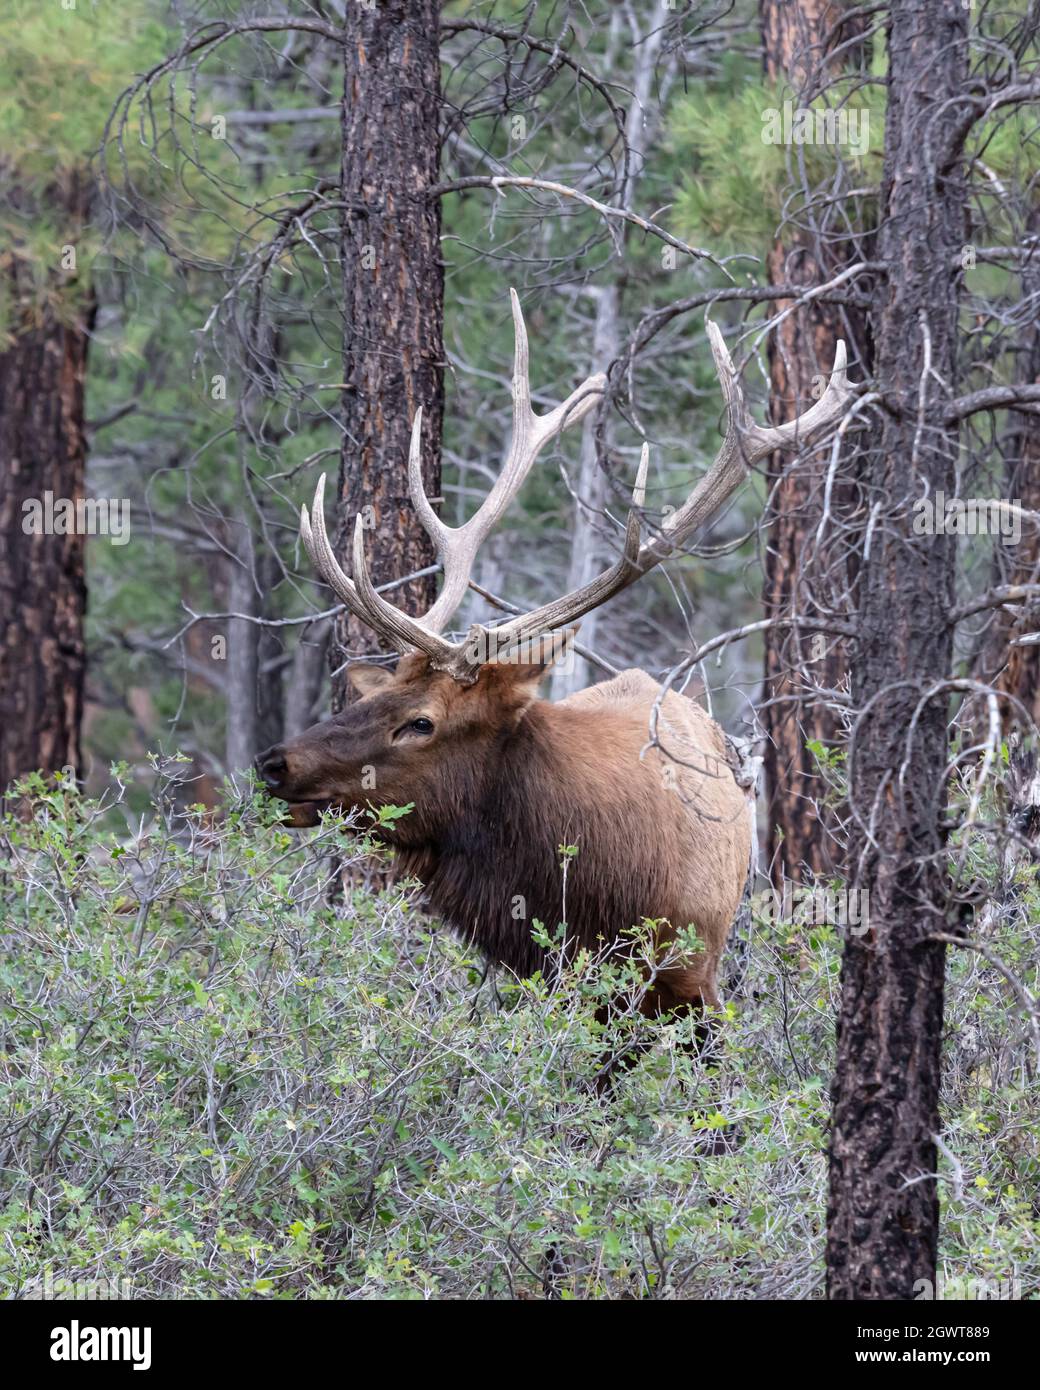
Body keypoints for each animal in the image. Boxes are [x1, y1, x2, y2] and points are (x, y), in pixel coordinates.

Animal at [255, 290, 850, 1034]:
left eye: (420, 721)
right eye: (370, 698)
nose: (275, 762)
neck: (597, 893)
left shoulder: (694, 979)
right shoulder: (554, 985)